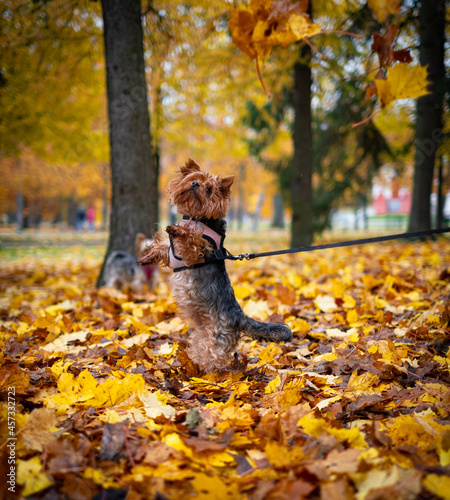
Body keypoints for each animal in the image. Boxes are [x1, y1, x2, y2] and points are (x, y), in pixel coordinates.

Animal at [137, 160, 292, 372]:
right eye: (194, 179)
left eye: (208, 189)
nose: (195, 185)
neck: (198, 218)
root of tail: (240, 317)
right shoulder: (170, 251)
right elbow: (161, 248)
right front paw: (146, 257)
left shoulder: (198, 250)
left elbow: (191, 239)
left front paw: (177, 230)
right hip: (202, 334)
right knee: (201, 347)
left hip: (218, 336)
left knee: (214, 356)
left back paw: (208, 373)